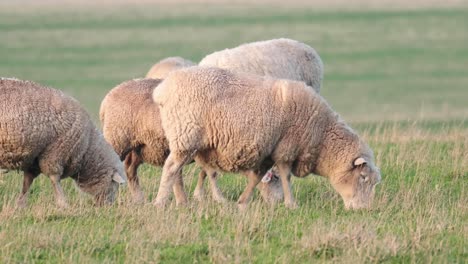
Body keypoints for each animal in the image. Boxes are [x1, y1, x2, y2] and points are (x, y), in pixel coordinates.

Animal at [0, 78, 126, 208]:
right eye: (114, 184)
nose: (108, 207)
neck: (87, 147)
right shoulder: (54, 154)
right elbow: (55, 179)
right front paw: (63, 203)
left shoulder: (34, 159)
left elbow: (27, 182)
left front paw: (20, 204)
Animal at [99, 78, 282, 204]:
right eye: (276, 178)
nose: (278, 202)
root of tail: (106, 99)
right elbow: (210, 173)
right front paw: (217, 199)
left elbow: (205, 172)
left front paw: (195, 197)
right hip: (118, 139)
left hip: (139, 148)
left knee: (130, 169)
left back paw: (139, 199)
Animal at [153, 67, 380, 210]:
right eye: (363, 177)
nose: (365, 210)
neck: (322, 137)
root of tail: (162, 90)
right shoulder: (286, 148)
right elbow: (286, 177)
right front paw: (291, 204)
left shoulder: (269, 151)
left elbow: (256, 177)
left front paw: (242, 202)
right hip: (186, 134)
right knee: (171, 168)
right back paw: (160, 201)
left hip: (184, 140)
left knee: (178, 171)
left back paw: (182, 201)